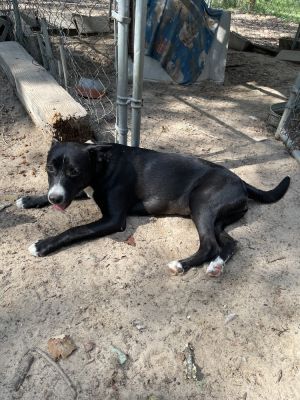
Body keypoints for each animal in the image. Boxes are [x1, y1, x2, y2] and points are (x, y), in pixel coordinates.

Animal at [17, 142, 290, 276]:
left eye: (74, 171)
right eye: (49, 169)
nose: (55, 198)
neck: (102, 162)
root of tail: (241, 180)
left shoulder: (114, 220)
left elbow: (75, 230)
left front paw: (43, 245)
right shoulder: (78, 190)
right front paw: (29, 200)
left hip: (201, 204)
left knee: (210, 245)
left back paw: (181, 264)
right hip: (219, 219)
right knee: (230, 243)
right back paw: (216, 265)